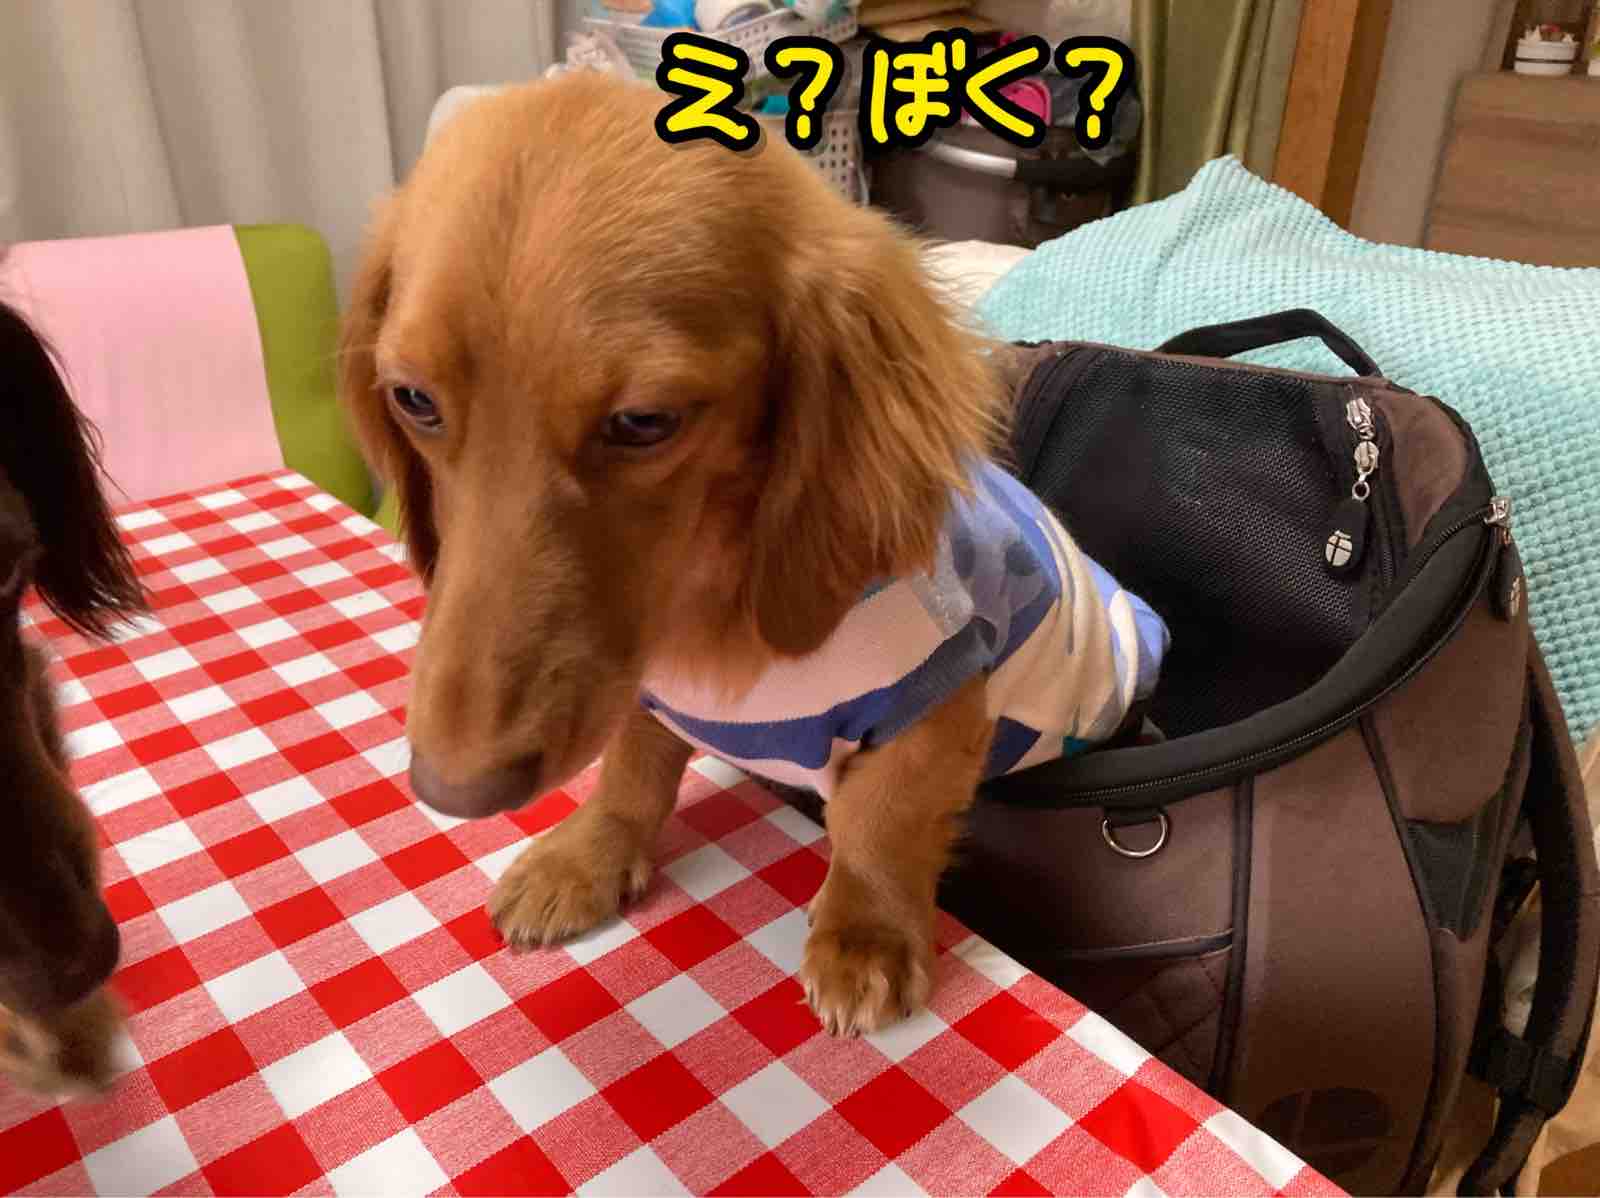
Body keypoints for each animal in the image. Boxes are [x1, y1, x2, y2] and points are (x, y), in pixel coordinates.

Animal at [341, 74, 1167, 1035]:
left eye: (644, 422)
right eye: (413, 401)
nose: (452, 792)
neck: (705, 602)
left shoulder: (939, 699)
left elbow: (882, 824)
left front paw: (865, 935)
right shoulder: (640, 687)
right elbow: (632, 771)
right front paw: (585, 857)